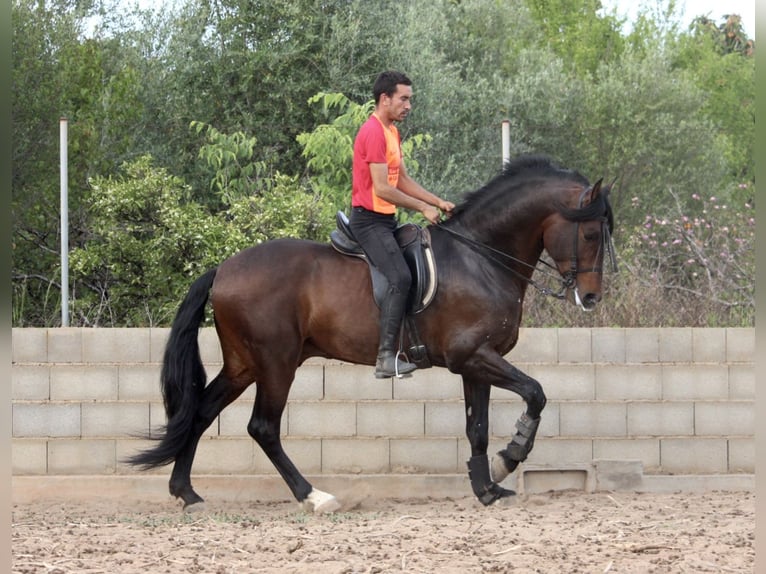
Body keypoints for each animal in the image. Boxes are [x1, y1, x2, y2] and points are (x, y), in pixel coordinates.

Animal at [126, 154, 616, 512]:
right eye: (591, 233)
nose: (591, 298)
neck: (481, 257)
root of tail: (223, 269)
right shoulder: (474, 356)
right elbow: (536, 393)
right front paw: (509, 459)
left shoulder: (476, 362)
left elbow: (476, 427)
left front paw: (487, 487)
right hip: (276, 363)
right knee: (262, 427)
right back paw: (313, 496)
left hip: (244, 364)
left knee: (201, 413)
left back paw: (187, 494)